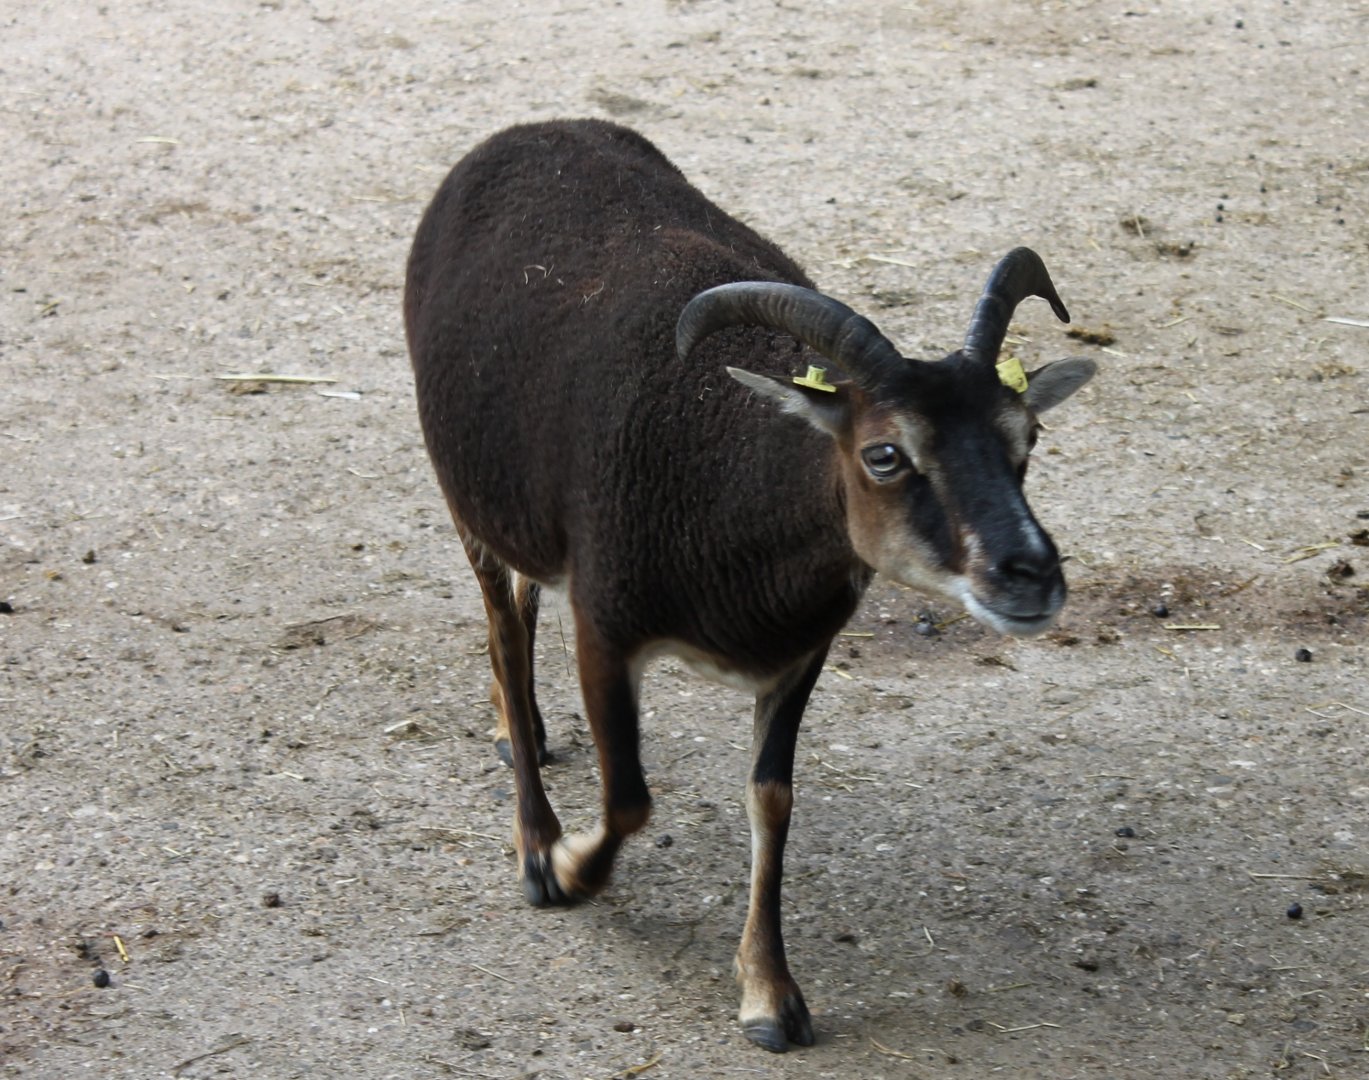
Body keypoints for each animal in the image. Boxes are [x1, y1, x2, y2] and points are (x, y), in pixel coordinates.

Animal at [403, 118, 1096, 1052]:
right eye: (884, 453)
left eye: (1026, 437)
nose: (1028, 574)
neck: (730, 480)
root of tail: (534, 130)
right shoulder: (606, 622)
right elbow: (630, 798)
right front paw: (568, 870)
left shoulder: (798, 654)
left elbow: (771, 799)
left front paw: (770, 997)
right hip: (468, 495)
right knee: (504, 633)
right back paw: (535, 832)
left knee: (521, 599)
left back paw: (527, 734)